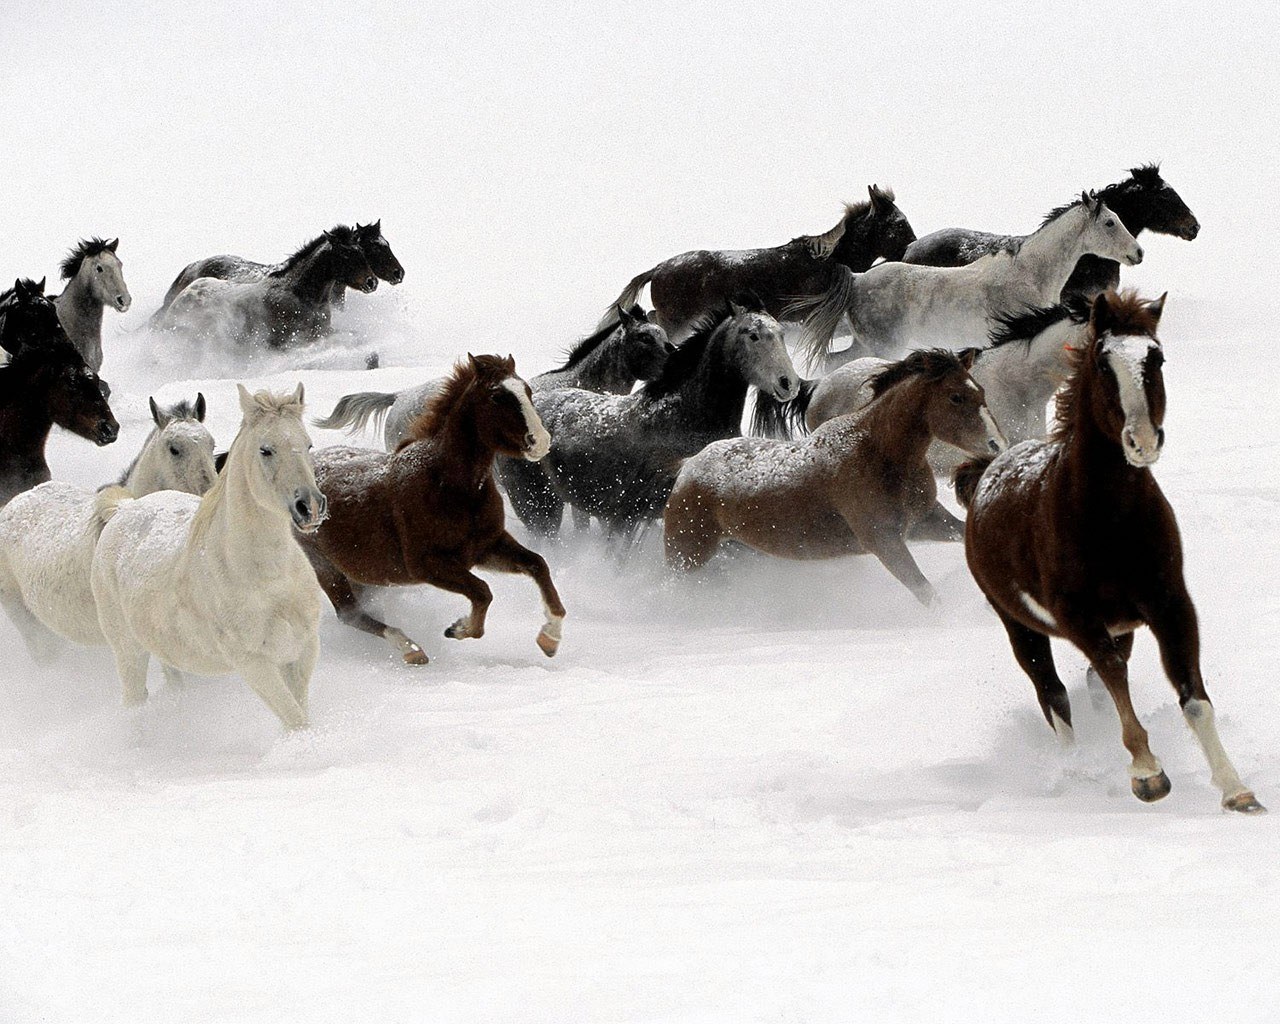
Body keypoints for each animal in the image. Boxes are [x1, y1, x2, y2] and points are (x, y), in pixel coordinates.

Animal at [90, 384, 326, 729]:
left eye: (308, 444)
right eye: (265, 450)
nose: (310, 506)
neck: (269, 578)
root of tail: (123, 509)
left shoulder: (303, 650)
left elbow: (300, 715)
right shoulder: (254, 663)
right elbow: (296, 721)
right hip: (128, 650)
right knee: (134, 700)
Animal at [295, 354, 565, 665]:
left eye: (527, 391)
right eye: (497, 396)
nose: (540, 441)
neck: (449, 486)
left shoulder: (486, 547)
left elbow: (538, 565)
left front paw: (550, 638)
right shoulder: (428, 565)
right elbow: (483, 592)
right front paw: (459, 629)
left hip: (362, 574)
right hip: (325, 566)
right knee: (350, 614)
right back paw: (411, 649)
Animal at [665, 349, 1005, 603]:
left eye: (981, 391)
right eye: (956, 397)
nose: (997, 445)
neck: (878, 453)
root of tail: (688, 467)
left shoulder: (925, 521)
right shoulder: (884, 540)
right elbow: (926, 592)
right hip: (686, 556)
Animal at [795, 192, 1143, 366]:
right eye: (1110, 223)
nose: (1138, 253)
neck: (1029, 275)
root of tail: (856, 280)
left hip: (865, 345)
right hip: (883, 347)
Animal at [956, 290, 1262, 813]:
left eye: (1156, 358)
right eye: (1102, 363)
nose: (1143, 441)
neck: (1110, 520)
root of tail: (985, 471)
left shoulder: (1170, 605)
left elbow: (1192, 695)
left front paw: (1236, 790)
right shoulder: (1078, 617)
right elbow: (1113, 677)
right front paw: (1148, 774)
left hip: (1122, 626)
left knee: (1090, 686)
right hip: (1018, 625)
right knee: (1054, 694)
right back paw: (1076, 770)